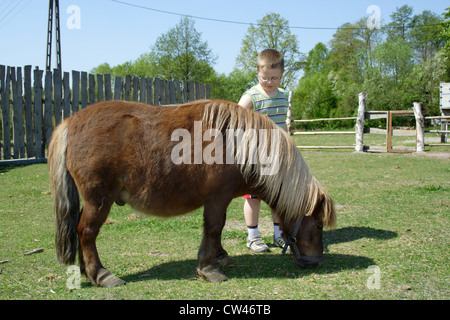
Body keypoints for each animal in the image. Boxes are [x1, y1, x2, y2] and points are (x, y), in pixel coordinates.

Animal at [48, 100, 334, 288]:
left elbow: (217, 230)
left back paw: (86, 271)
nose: (316, 260)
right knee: (86, 232)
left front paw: (220, 256)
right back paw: (100, 274)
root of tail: (71, 122)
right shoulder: (217, 198)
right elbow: (214, 227)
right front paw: (208, 267)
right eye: (318, 224)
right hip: (99, 200)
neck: (238, 145)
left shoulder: (221, 199)